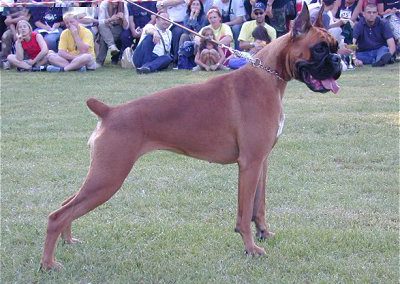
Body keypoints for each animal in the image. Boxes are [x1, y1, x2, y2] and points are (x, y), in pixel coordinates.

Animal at [39, 5, 340, 270]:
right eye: (320, 48)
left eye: (336, 46)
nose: (338, 60)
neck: (269, 77)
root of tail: (109, 111)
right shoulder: (250, 164)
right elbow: (244, 213)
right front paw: (251, 248)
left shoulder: (262, 162)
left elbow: (259, 206)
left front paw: (264, 233)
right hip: (108, 177)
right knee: (57, 215)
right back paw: (48, 264)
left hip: (102, 175)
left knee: (66, 206)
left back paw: (68, 241)